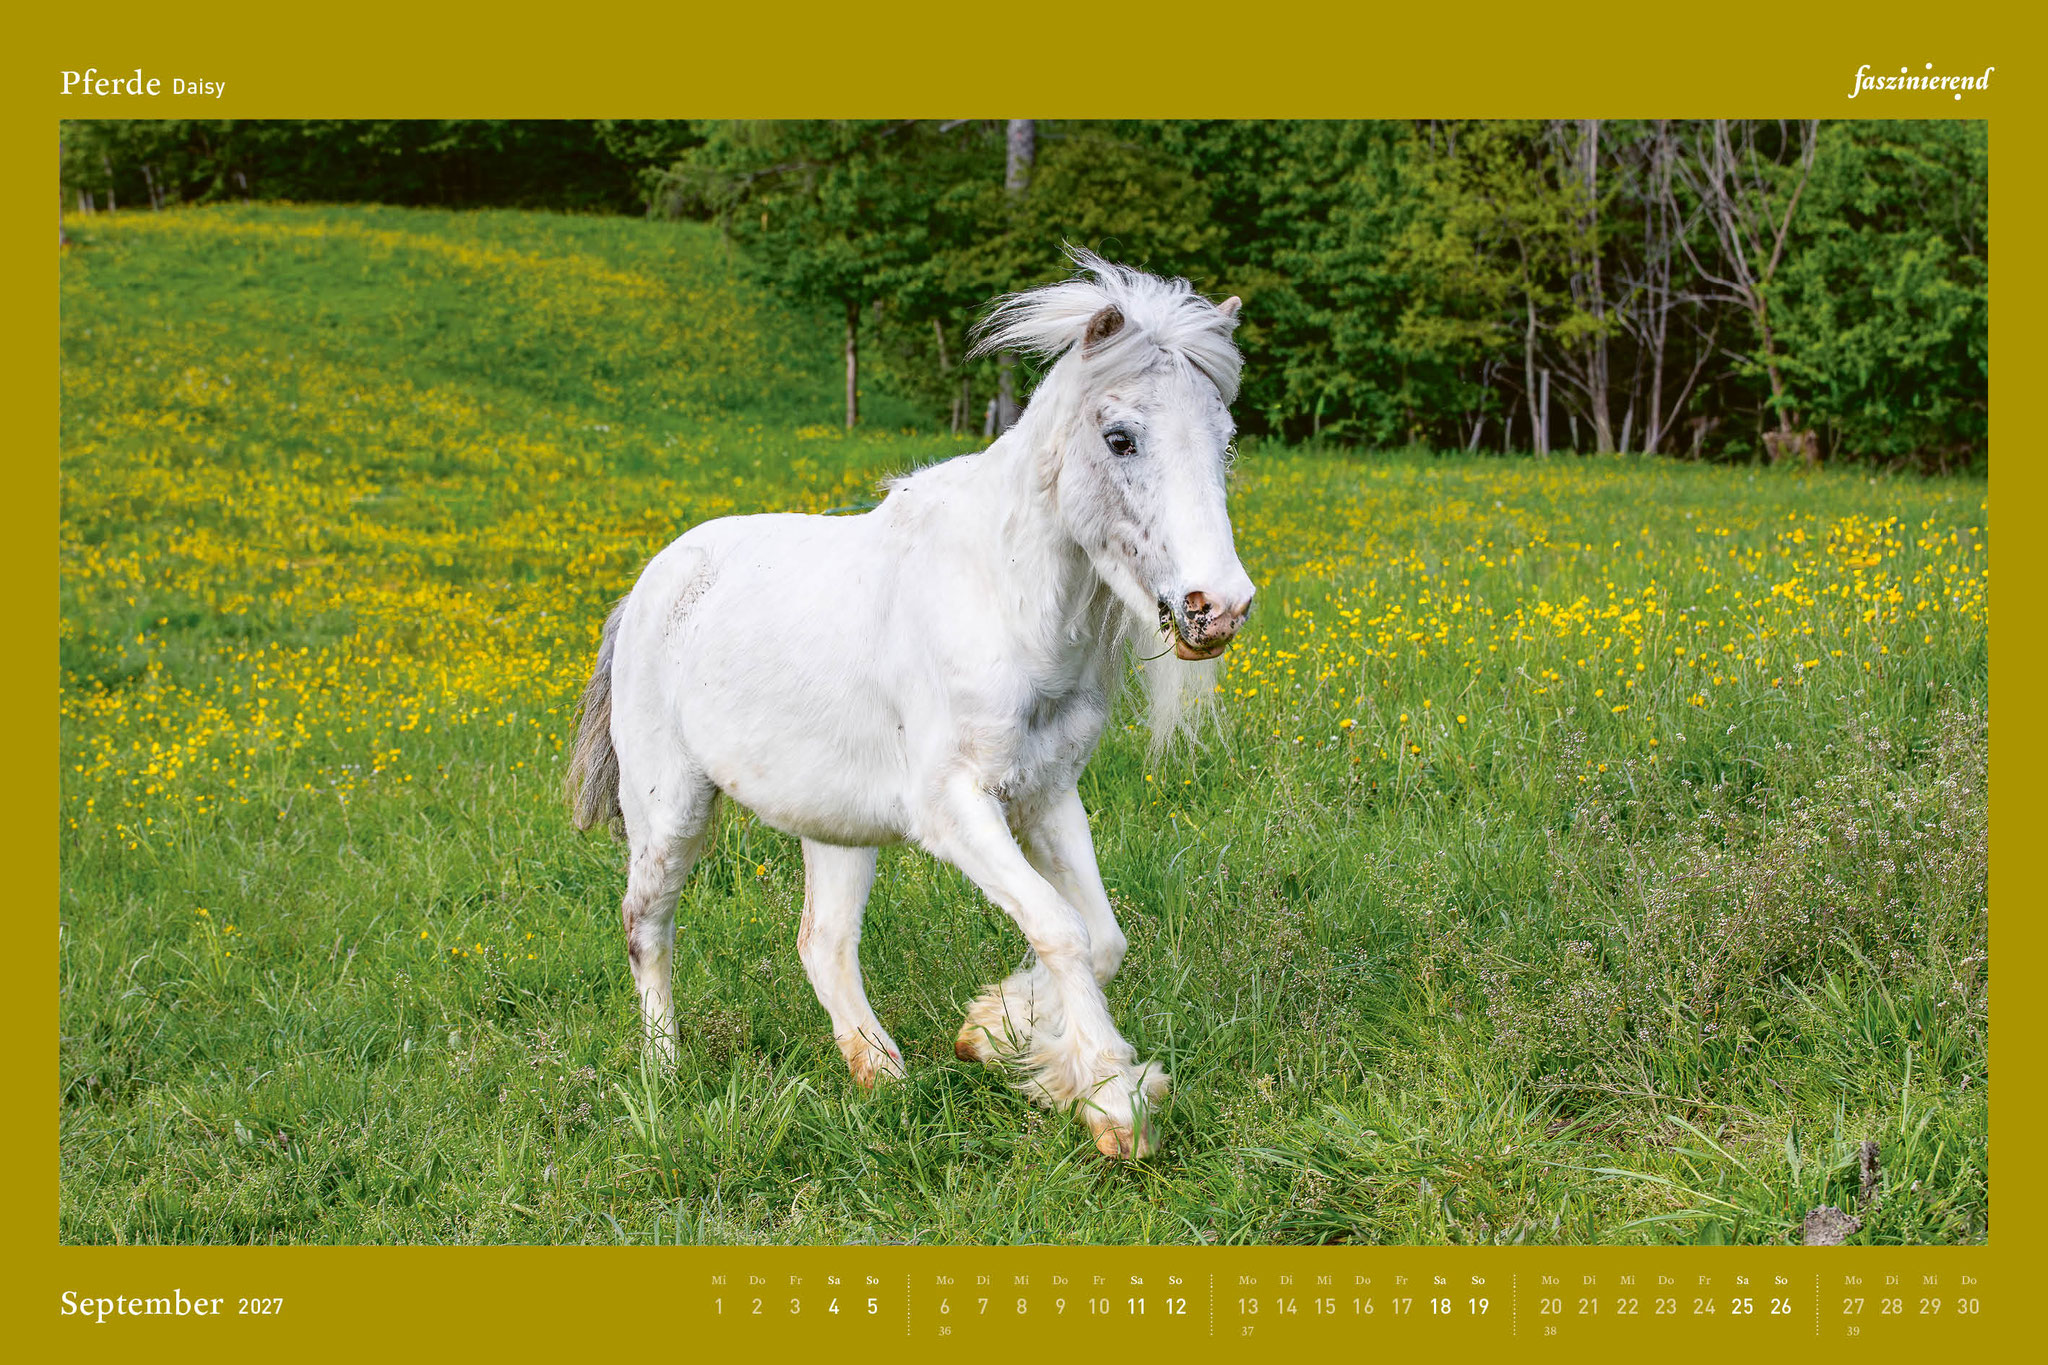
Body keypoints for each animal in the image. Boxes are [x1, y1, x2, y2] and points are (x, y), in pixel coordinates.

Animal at [566, 250, 1254, 1157]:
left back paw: (880, 1072)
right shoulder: (955, 806)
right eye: (1120, 438)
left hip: (836, 827)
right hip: (669, 810)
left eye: (1225, 443)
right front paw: (1113, 1103)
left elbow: (1102, 937)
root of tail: (649, 584)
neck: (1002, 598)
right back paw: (666, 1073)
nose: (1222, 607)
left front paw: (994, 1034)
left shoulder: (1047, 793)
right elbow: (1060, 927)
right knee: (647, 924)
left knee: (822, 942)